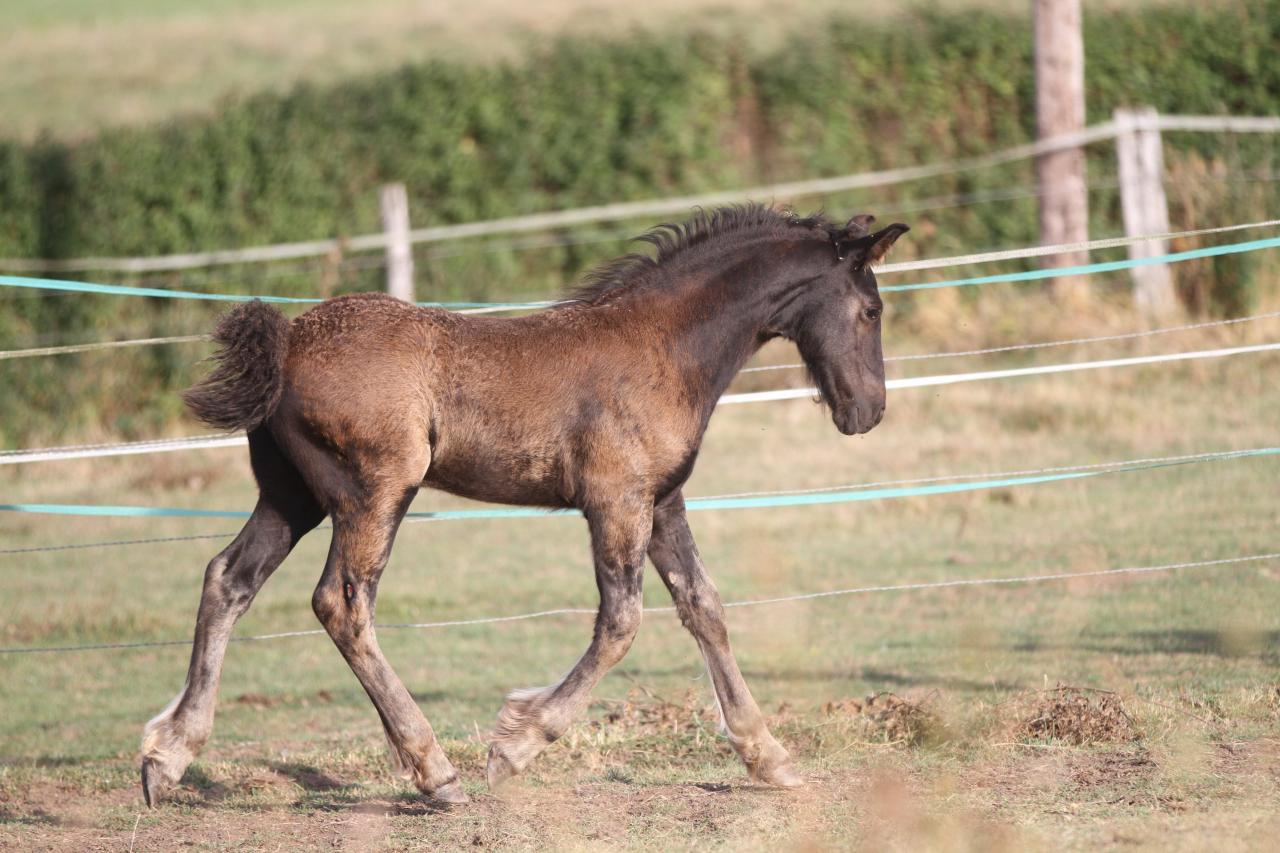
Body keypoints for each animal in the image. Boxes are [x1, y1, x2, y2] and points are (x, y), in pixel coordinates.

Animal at [142, 206, 911, 804]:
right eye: (872, 309)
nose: (869, 411)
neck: (664, 345)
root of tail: (289, 338)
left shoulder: (662, 501)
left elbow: (705, 608)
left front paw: (767, 756)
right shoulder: (616, 501)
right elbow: (621, 623)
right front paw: (514, 746)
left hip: (290, 496)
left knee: (227, 579)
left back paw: (165, 758)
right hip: (375, 491)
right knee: (342, 604)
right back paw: (435, 772)